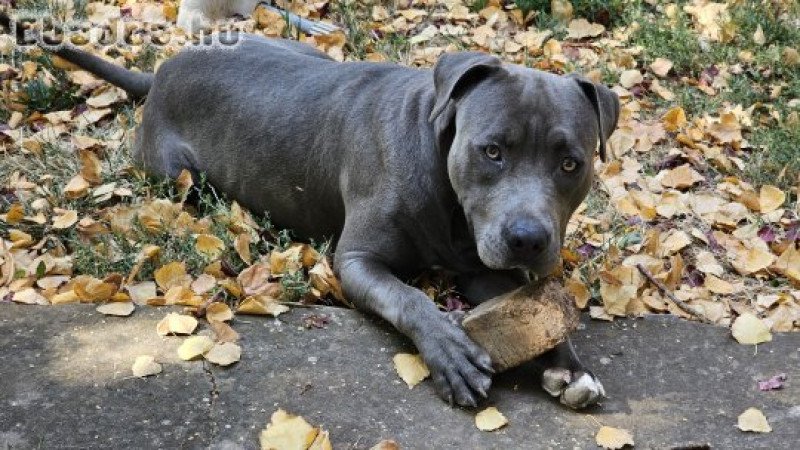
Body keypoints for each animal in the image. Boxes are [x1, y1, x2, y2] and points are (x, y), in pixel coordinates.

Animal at [15, 26, 620, 410]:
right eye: (491, 150)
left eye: (571, 163)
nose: (527, 239)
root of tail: (163, 70)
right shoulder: (356, 261)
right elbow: (410, 297)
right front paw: (448, 352)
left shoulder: (478, 264)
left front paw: (571, 366)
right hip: (175, 176)